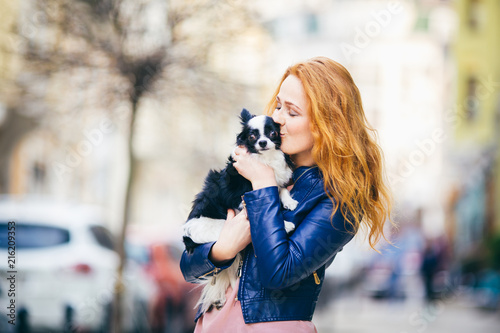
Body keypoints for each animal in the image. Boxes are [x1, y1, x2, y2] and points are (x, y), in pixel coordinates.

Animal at [183, 108, 296, 312]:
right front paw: (285, 224)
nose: (262, 142)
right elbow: (255, 217)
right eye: (252, 136)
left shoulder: (270, 184)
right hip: (220, 230)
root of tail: (186, 237)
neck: (266, 159)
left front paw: (289, 201)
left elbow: (280, 189)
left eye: (272, 133)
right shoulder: (243, 202)